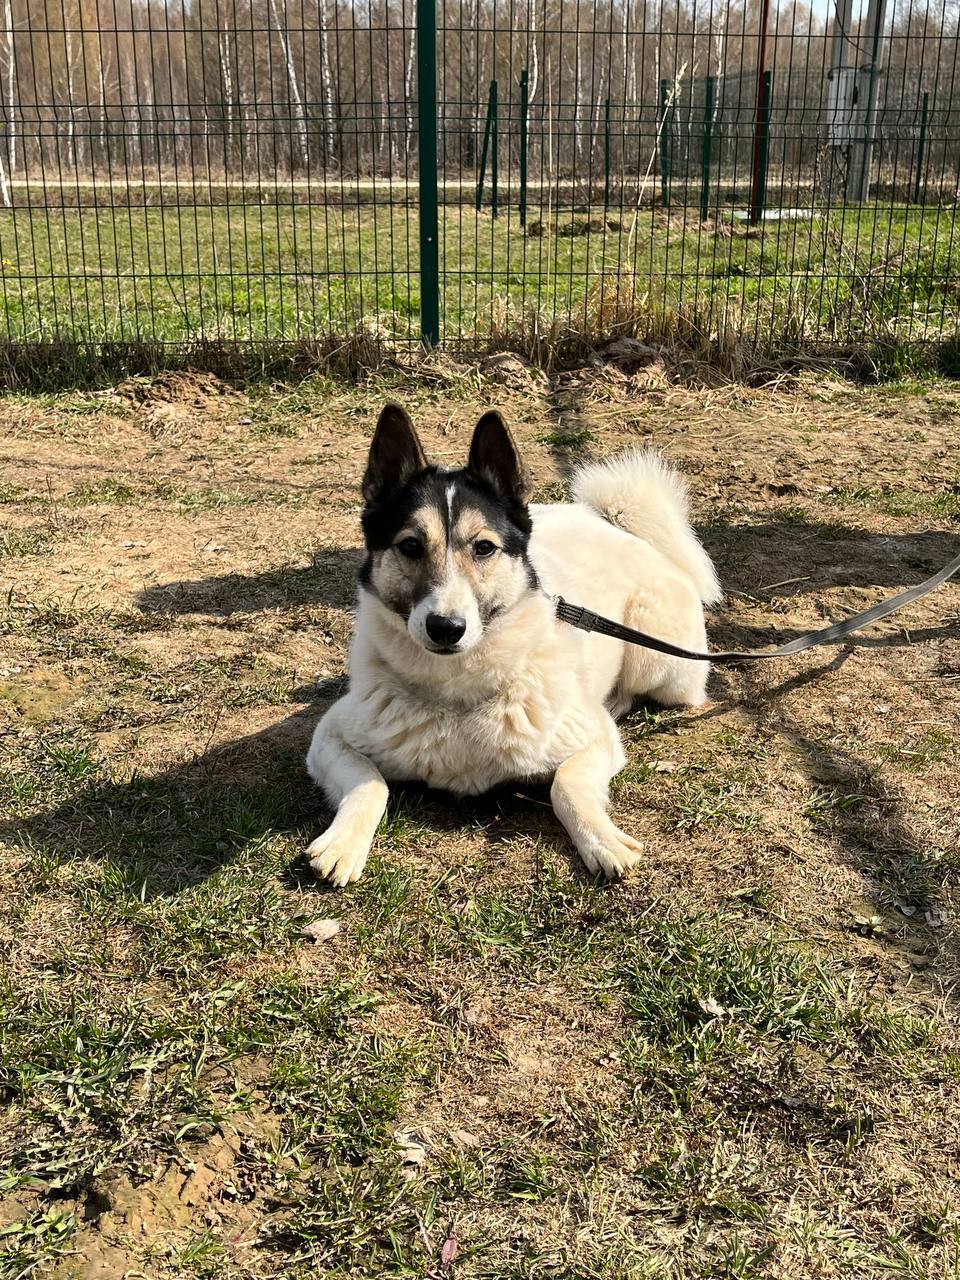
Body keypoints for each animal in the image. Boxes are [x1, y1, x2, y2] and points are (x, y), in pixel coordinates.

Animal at [308, 404, 721, 885]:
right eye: (410, 546)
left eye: (484, 548)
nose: (445, 627)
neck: (457, 696)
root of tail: (614, 524)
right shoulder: (330, 736)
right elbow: (370, 784)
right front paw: (344, 842)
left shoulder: (596, 739)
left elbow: (566, 785)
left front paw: (601, 840)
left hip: (657, 659)